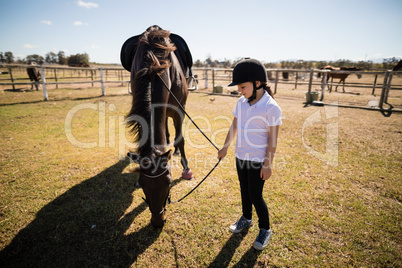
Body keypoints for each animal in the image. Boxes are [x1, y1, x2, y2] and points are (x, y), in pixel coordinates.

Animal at [120, 25, 194, 227]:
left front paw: (186, 168)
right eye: (143, 184)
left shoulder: (179, 110)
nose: (158, 221)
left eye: (168, 182)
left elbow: (180, 139)